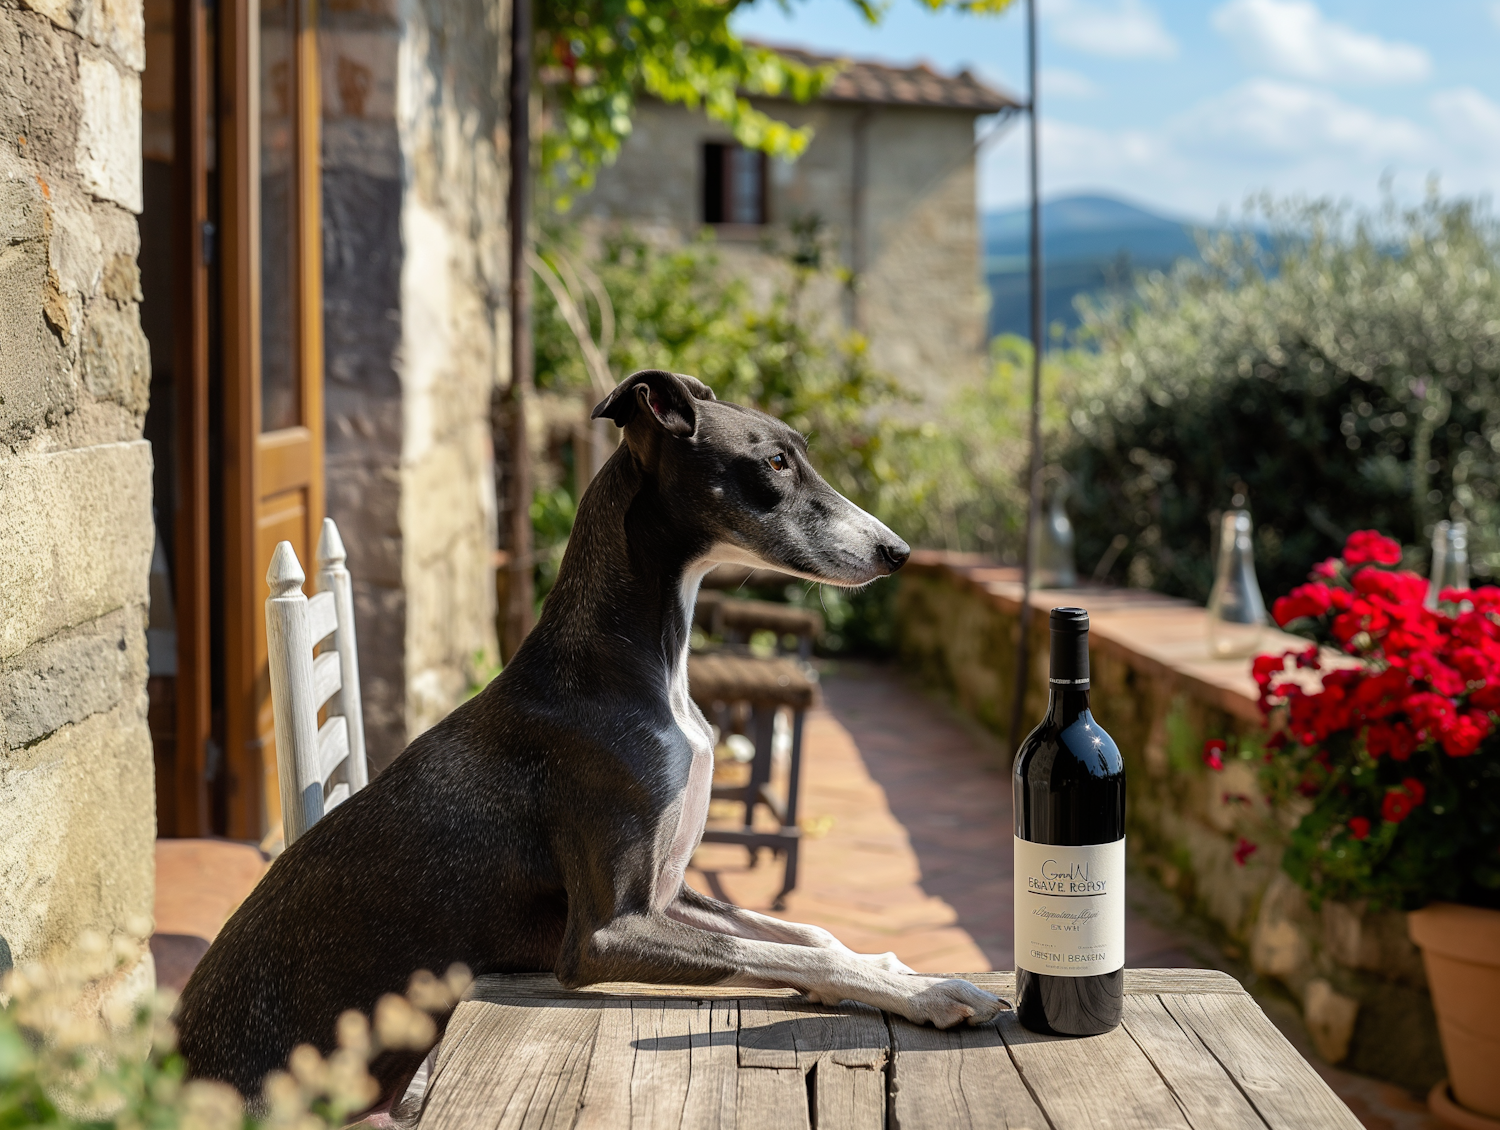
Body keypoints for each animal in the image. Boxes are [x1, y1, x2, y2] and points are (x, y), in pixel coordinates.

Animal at [175, 367, 1002, 1104]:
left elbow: (811, 938)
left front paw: (896, 969)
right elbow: (775, 950)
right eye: (773, 462)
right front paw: (932, 991)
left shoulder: (667, 890)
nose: (897, 553)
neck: (634, 671)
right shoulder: (605, 933)